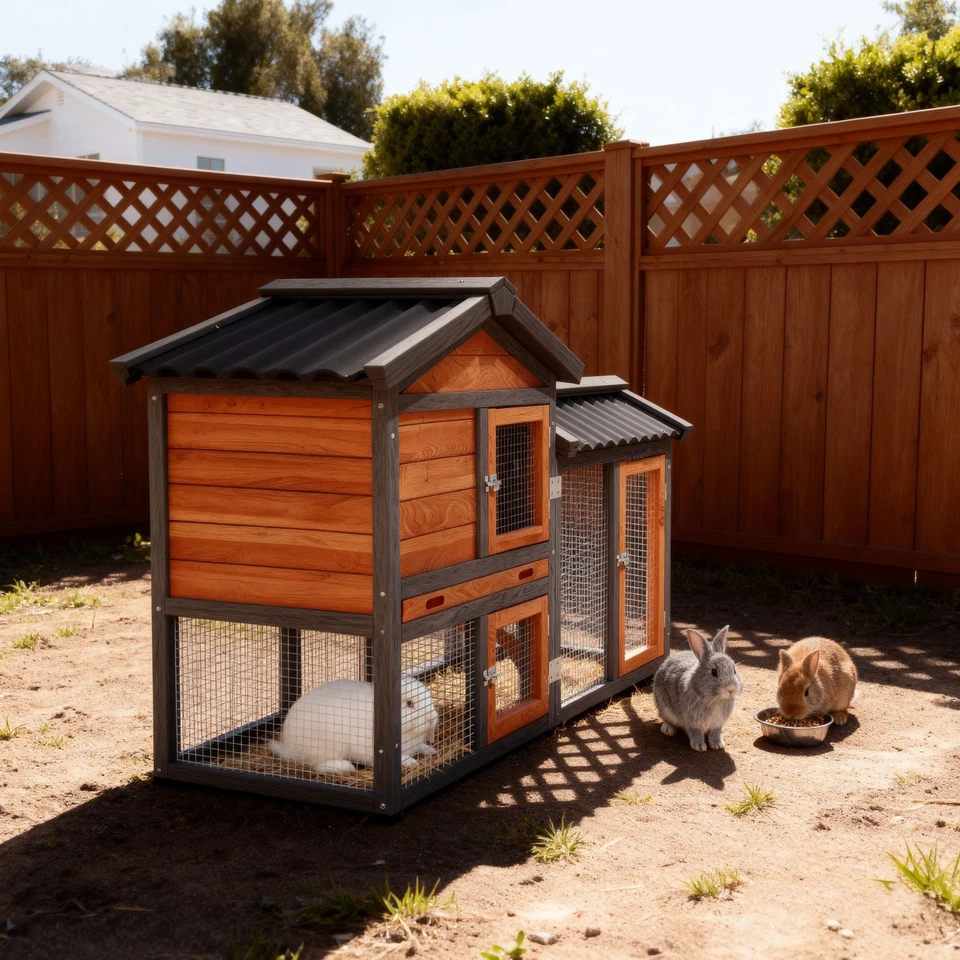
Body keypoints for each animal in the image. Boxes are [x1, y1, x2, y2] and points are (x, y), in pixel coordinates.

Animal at [268, 675, 438, 773]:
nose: (432, 718)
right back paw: (346, 767)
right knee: (317, 765)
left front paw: (431, 750)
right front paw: (411, 762)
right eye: (409, 703)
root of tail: (289, 747)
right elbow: (401, 758)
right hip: (330, 746)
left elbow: (421, 746)